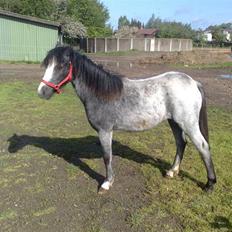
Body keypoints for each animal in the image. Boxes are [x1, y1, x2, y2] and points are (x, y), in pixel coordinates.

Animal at [37, 46, 217, 193]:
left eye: (62, 65)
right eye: (47, 65)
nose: (42, 92)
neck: (100, 93)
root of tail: (193, 82)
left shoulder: (105, 131)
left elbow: (107, 157)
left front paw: (107, 183)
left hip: (188, 124)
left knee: (202, 146)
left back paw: (209, 184)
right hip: (174, 122)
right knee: (181, 143)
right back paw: (172, 171)